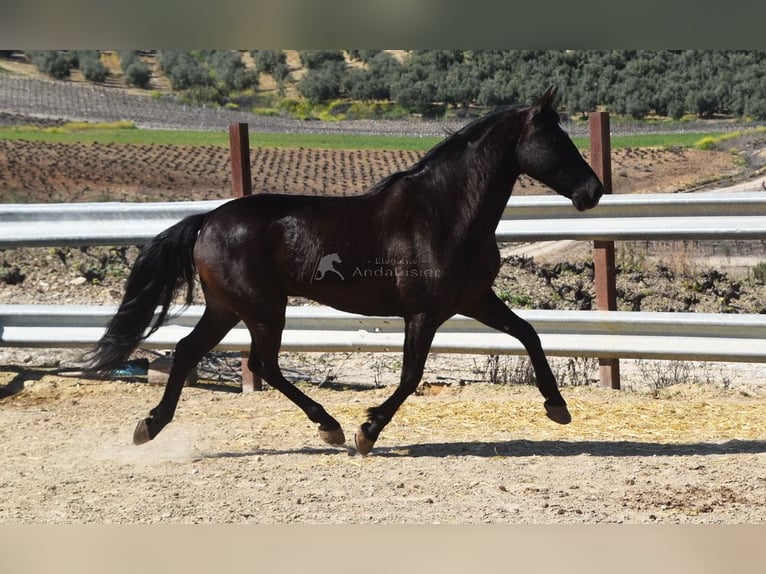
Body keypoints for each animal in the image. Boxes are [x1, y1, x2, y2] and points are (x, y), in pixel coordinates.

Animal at [87, 88, 608, 456]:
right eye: (556, 139)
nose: (594, 191)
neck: (444, 214)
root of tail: (207, 220)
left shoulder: (474, 300)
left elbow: (529, 334)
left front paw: (557, 407)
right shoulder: (423, 314)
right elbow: (411, 375)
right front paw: (367, 431)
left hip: (227, 307)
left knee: (189, 351)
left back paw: (150, 426)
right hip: (262, 308)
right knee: (261, 365)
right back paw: (331, 427)